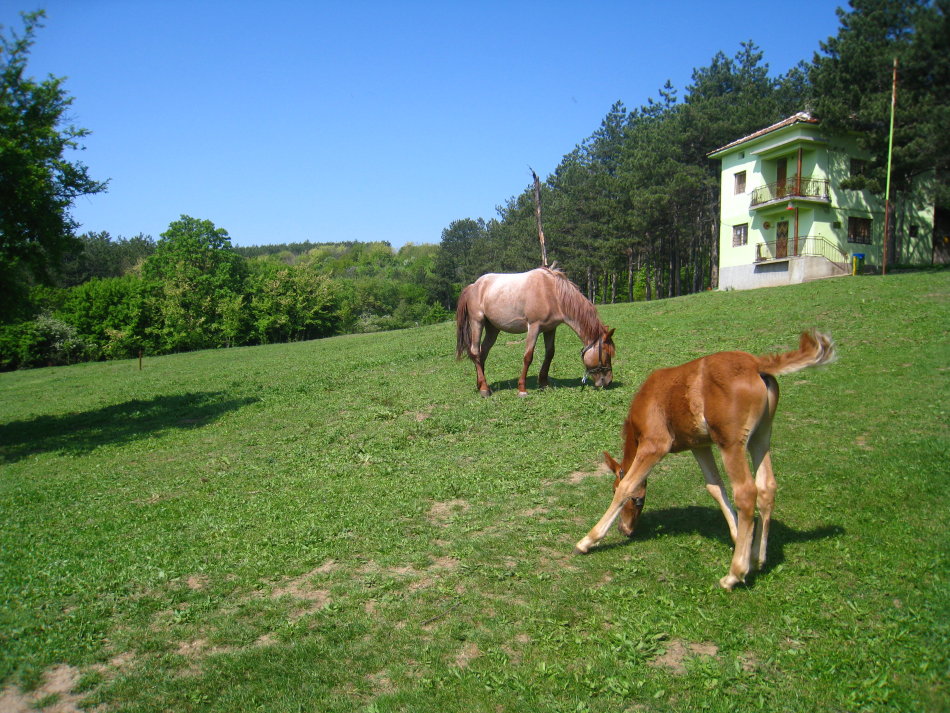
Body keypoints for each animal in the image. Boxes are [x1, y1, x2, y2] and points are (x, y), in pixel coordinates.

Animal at [455, 266, 615, 397]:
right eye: (606, 354)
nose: (608, 381)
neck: (552, 293)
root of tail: (473, 286)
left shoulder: (550, 329)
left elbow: (550, 354)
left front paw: (544, 383)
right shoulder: (534, 327)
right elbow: (528, 357)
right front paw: (522, 389)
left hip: (492, 329)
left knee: (483, 354)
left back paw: (481, 384)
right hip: (477, 322)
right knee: (475, 352)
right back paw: (484, 389)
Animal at [573, 330, 836, 590]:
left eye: (636, 500)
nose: (625, 530)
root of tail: (756, 364)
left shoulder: (655, 444)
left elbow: (628, 485)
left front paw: (588, 540)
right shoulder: (699, 446)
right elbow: (715, 487)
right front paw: (740, 539)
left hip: (731, 442)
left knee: (746, 492)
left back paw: (733, 575)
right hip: (761, 436)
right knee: (766, 487)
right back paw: (757, 558)